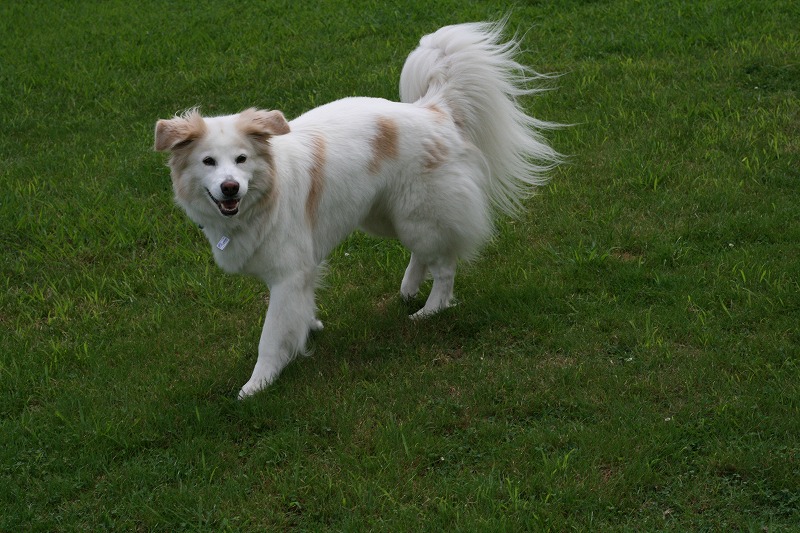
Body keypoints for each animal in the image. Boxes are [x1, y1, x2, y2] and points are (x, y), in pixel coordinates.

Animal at [153, 20, 560, 396]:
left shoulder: (287, 276)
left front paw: (258, 384)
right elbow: (302, 310)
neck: (268, 192)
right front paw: (310, 328)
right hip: (382, 216)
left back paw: (428, 311)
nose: (230, 187)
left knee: (444, 266)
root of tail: (435, 109)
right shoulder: (302, 270)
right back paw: (408, 289)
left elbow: (270, 337)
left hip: (418, 216)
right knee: (424, 255)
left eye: (241, 159)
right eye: (208, 162)